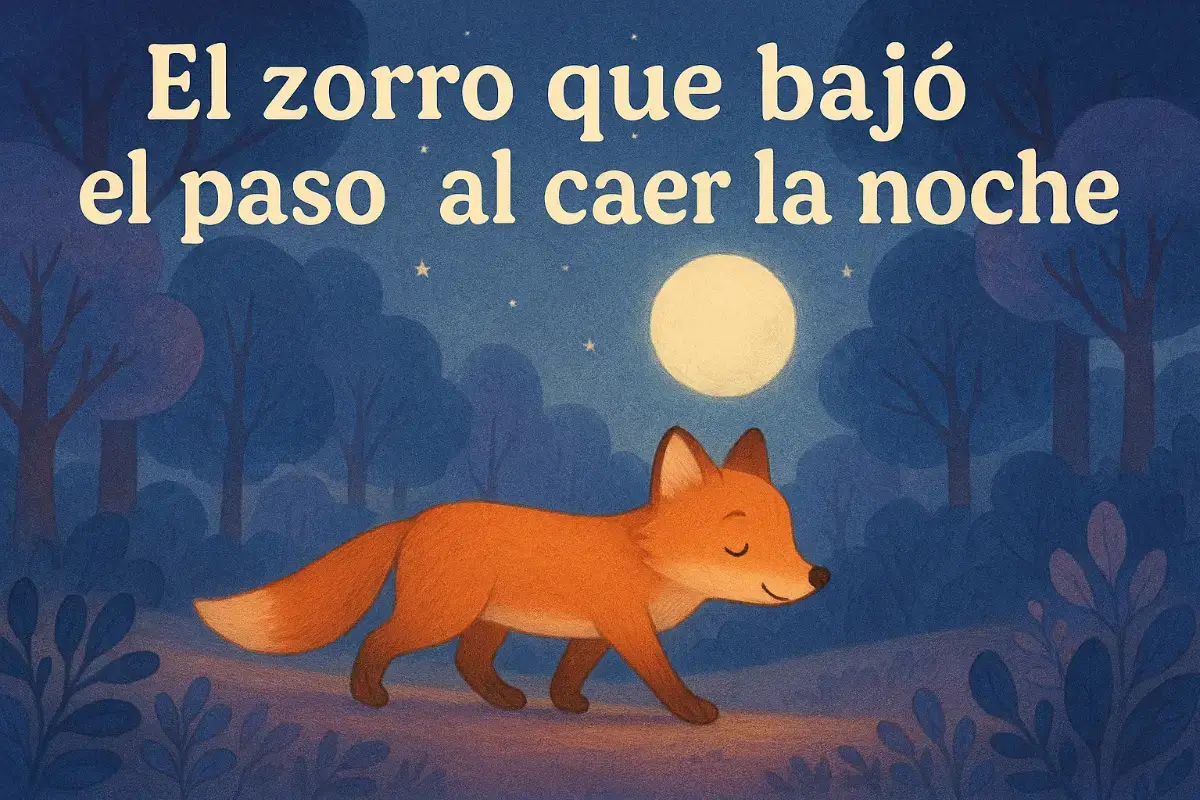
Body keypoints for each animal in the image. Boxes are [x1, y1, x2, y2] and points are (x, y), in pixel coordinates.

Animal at [194, 426, 829, 725]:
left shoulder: (596, 633)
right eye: (740, 547)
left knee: (468, 662)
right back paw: (368, 696)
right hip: (439, 615)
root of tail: (418, 517)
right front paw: (694, 711)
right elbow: (663, 677)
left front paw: (567, 704)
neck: (648, 559)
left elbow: (568, 674)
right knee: (378, 639)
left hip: (486, 621)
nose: (819, 576)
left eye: (789, 537)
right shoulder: (628, 628)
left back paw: (503, 699)